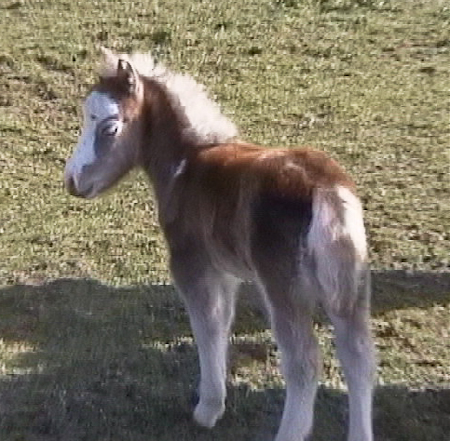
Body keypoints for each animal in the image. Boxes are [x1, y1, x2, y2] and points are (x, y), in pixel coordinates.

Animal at [63, 48, 376, 440]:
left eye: (109, 127)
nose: (72, 180)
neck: (187, 162)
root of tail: (325, 191)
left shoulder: (191, 263)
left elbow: (206, 326)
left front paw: (208, 408)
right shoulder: (225, 271)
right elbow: (223, 322)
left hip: (285, 289)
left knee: (303, 363)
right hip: (353, 286)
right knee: (359, 357)